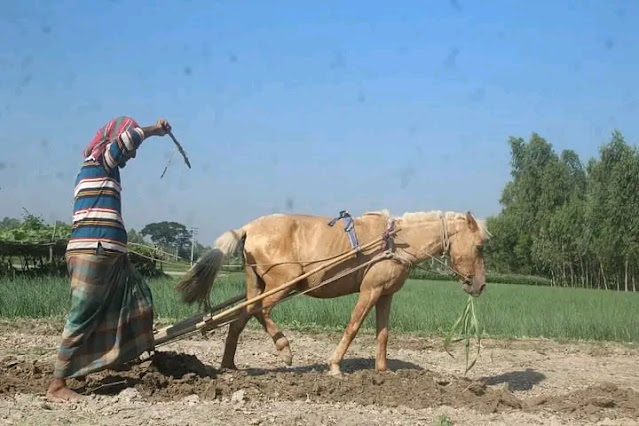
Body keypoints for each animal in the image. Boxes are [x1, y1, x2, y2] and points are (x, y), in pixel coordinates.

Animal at [175, 210, 490, 376]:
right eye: (479, 246)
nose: (481, 285)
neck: (397, 243)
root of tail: (248, 228)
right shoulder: (370, 290)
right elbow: (353, 327)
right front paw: (335, 365)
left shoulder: (385, 294)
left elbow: (383, 333)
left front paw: (383, 371)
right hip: (283, 283)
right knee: (260, 310)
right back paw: (284, 350)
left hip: (256, 284)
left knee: (241, 318)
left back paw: (228, 366)